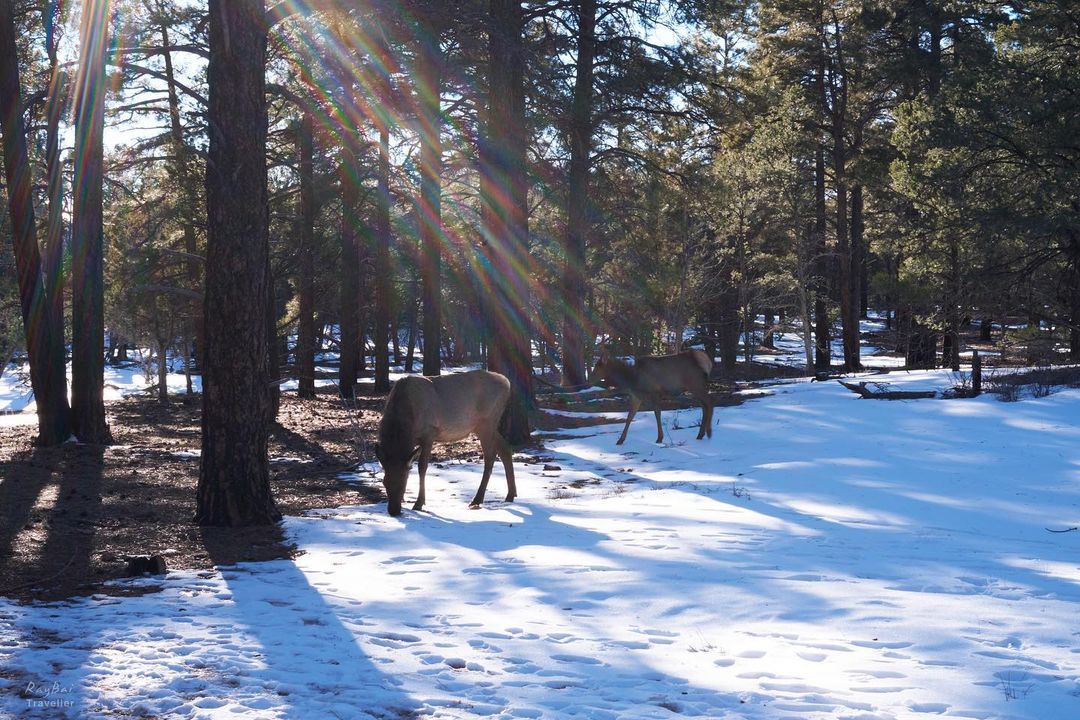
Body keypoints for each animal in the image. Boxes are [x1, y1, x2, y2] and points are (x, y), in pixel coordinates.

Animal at [375, 369, 517, 516]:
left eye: (404, 481)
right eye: (384, 482)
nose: (394, 510)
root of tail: (507, 383)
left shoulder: (429, 433)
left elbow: (422, 467)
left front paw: (419, 503)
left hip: (486, 422)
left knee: (490, 457)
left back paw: (477, 499)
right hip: (484, 426)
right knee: (505, 448)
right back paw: (510, 494)